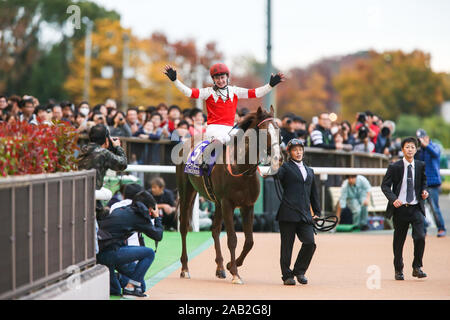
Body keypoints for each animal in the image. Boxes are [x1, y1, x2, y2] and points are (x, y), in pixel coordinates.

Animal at [175, 106, 284, 284]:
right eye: (263, 132)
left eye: (279, 132)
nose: (278, 159)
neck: (240, 168)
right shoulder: (228, 203)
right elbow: (232, 239)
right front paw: (235, 273)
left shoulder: (247, 205)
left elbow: (249, 241)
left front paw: (229, 265)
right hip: (187, 192)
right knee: (184, 227)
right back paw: (185, 268)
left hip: (217, 202)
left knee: (215, 230)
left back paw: (219, 268)